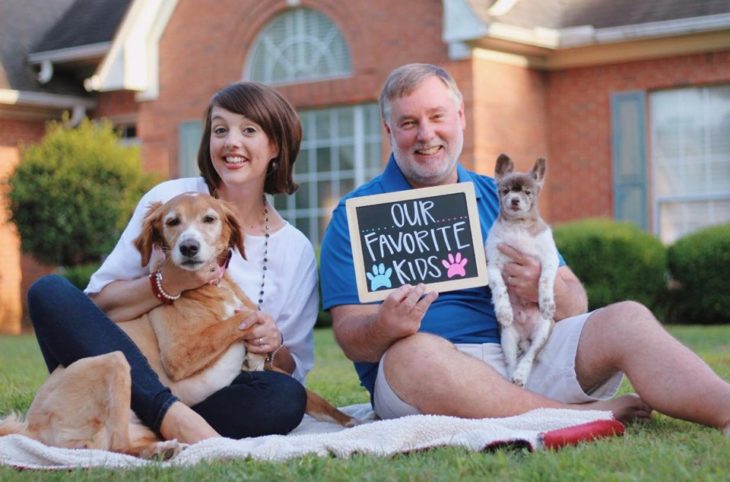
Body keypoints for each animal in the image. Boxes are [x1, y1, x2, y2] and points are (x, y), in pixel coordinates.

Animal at [484, 155, 556, 388]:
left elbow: (544, 281)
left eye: (527, 192)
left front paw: (547, 305)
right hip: (507, 338)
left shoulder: (549, 260)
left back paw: (521, 375)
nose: (515, 200)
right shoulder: (493, 266)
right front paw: (504, 311)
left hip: (543, 331)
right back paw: (513, 377)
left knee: (530, 356)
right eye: (505, 191)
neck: (518, 226)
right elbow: (499, 288)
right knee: (511, 362)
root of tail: (524, 336)